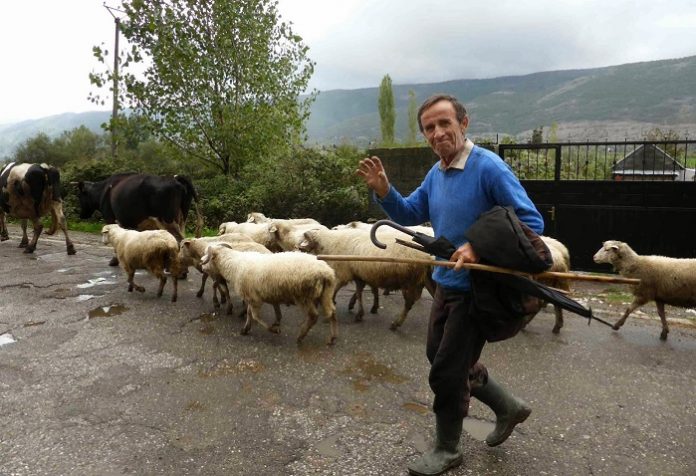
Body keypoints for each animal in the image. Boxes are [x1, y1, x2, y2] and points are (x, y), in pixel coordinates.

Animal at [200, 245, 338, 346]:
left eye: (208, 256)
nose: (202, 266)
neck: (233, 264)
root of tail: (326, 272)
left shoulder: (254, 298)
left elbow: (255, 316)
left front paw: (274, 329)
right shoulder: (250, 296)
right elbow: (249, 314)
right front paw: (245, 329)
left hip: (304, 296)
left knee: (313, 316)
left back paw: (301, 336)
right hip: (325, 294)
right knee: (331, 312)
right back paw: (332, 337)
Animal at [300, 229, 436, 330]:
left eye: (308, 238)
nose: (300, 248)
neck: (330, 243)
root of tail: (429, 257)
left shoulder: (345, 272)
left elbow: (339, 288)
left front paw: (333, 301)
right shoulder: (360, 274)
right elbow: (361, 292)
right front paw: (362, 310)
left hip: (410, 281)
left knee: (409, 303)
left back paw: (396, 323)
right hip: (425, 280)